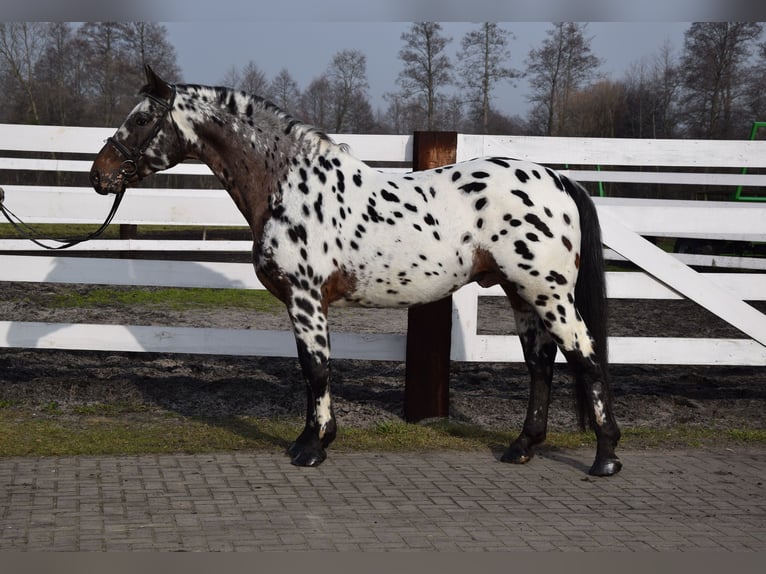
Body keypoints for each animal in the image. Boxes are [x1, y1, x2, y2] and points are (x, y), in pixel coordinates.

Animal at [88, 66, 624, 476]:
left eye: (141, 118)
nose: (99, 175)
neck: (289, 184)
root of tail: (559, 179)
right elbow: (312, 369)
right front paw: (312, 439)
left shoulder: (305, 298)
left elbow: (316, 368)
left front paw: (312, 447)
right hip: (520, 293)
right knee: (541, 364)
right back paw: (522, 447)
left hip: (549, 294)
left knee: (586, 357)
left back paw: (605, 457)